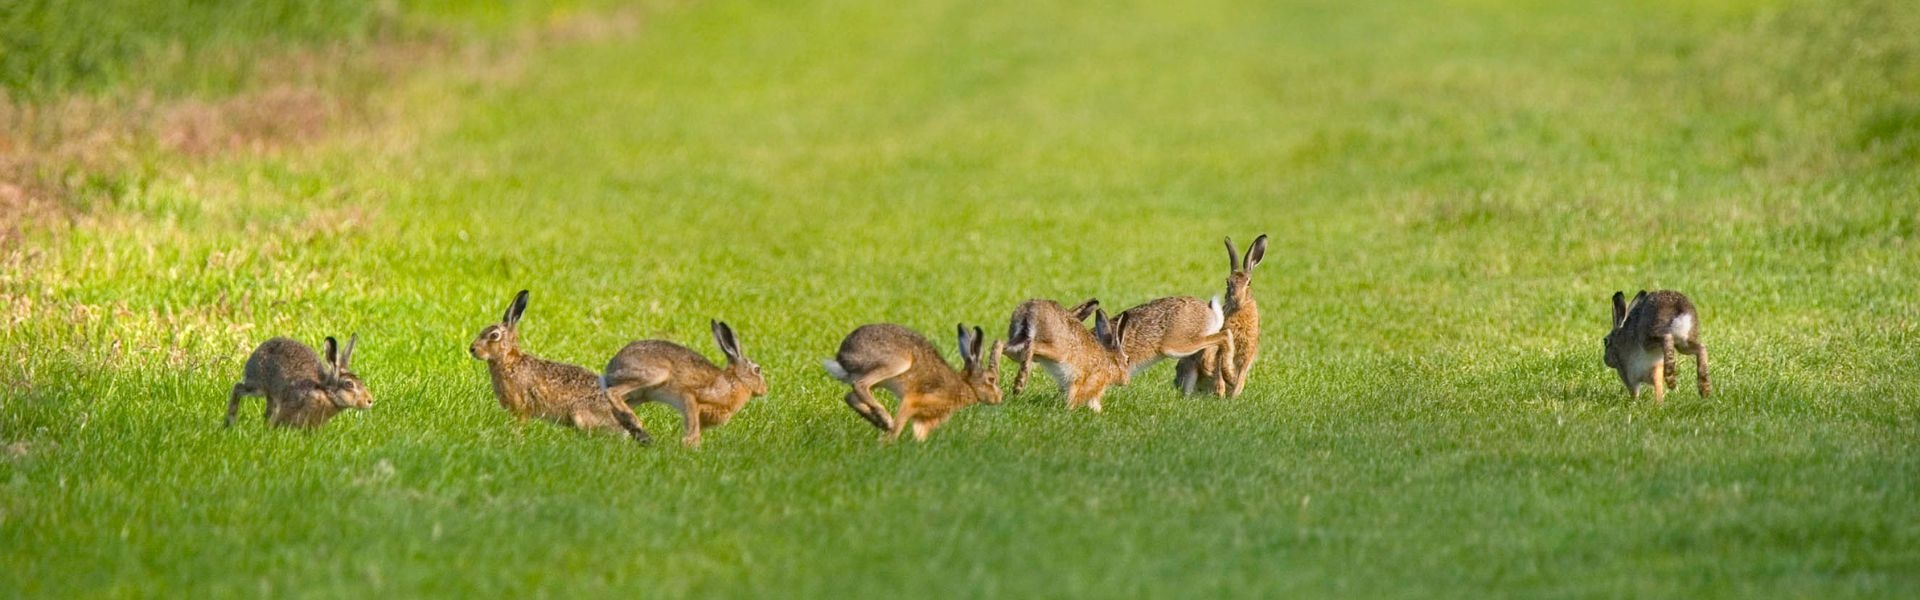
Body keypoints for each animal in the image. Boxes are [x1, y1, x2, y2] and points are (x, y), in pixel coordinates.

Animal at [226, 335, 372, 428]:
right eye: (349, 384)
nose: (370, 401)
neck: (325, 393)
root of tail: (258, 350)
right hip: (258, 386)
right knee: (238, 388)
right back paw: (229, 423)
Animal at [602, 320, 766, 447]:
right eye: (757, 370)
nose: (765, 390)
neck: (735, 380)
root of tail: (612, 365)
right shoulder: (690, 396)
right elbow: (693, 425)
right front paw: (690, 446)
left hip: (642, 395)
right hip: (654, 375)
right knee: (612, 393)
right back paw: (636, 424)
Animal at [822, 323, 1004, 442]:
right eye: (991, 380)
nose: (999, 397)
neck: (967, 385)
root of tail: (842, 358)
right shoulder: (913, 400)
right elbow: (901, 423)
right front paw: (887, 443)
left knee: (851, 396)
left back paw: (879, 421)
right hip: (898, 362)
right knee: (860, 385)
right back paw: (886, 419)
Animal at [1175, 234, 1267, 397]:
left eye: (1249, 283)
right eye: (1228, 282)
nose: (1236, 299)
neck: (1238, 310)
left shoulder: (1247, 354)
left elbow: (1240, 375)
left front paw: (1234, 395)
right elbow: (1218, 369)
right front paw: (1222, 391)